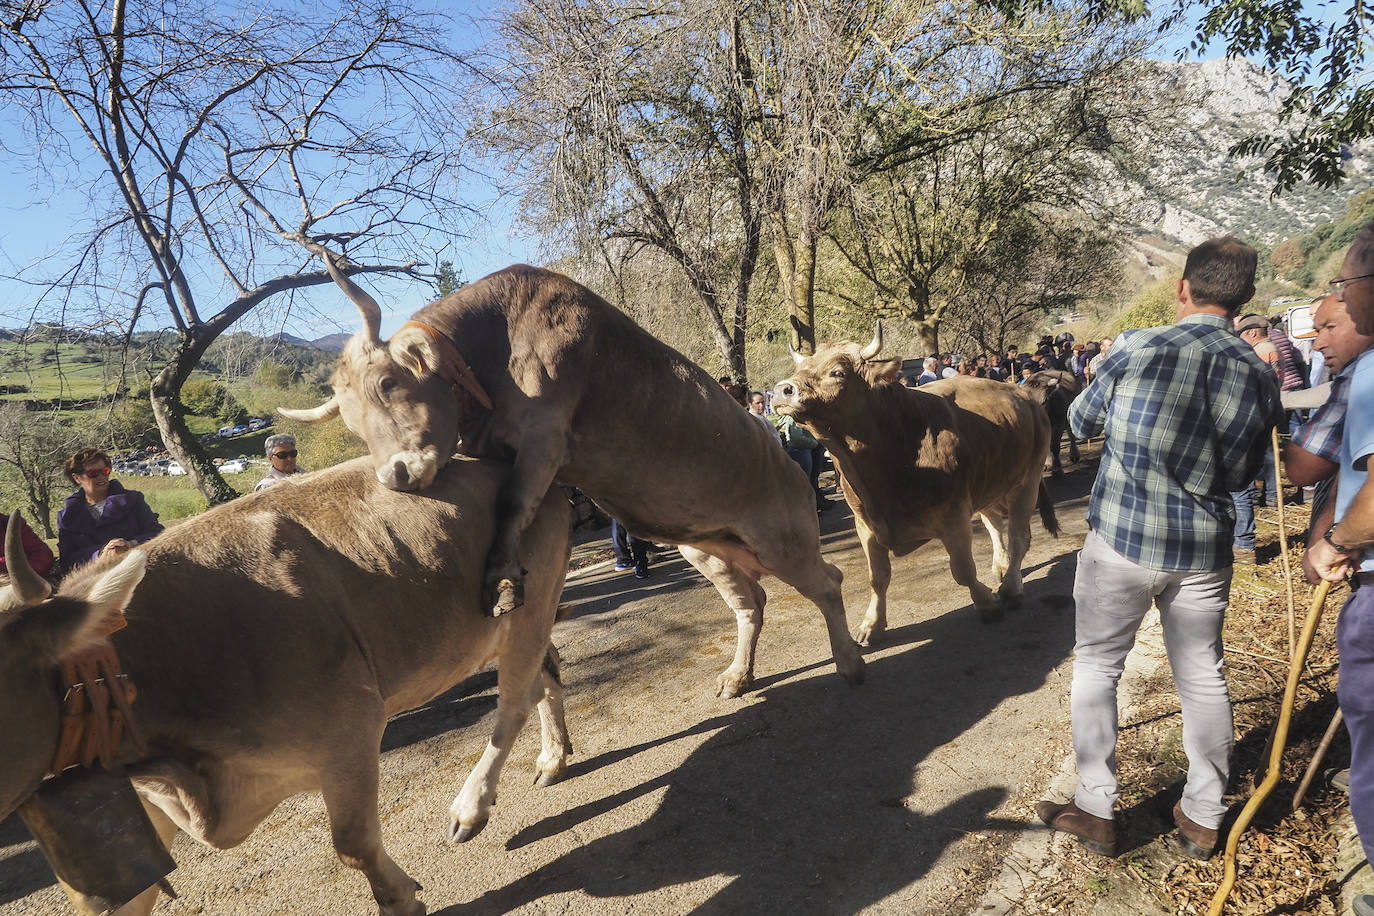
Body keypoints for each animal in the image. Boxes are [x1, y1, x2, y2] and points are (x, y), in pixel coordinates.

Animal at [0, 458, 574, 916]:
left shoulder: (348, 732)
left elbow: (353, 844)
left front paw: (402, 899)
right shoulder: (147, 801)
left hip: (529, 603)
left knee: (514, 703)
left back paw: (470, 807)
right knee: (545, 677)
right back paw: (553, 758)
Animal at [277, 259, 857, 703]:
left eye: (388, 382)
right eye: (351, 420)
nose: (394, 473)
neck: (495, 345)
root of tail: (783, 458)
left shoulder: (546, 434)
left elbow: (514, 503)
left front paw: (502, 578)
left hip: (783, 539)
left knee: (828, 583)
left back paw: (849, 660)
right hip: (708, 547)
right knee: (750, 603)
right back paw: (738, 677)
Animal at [780, 325, 1055, 648]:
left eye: (837, 371)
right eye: (799, 368)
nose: (783, 389)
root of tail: (1024, 394)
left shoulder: (954, 515)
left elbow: (963, 570)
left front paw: (987, 603)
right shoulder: (865, 524)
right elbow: (878, 578)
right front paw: (872, 624)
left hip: (1027, 480)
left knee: (1019, 536)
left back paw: (1011, 586)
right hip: (988, 484)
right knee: (995, 525)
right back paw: (1001, 566)